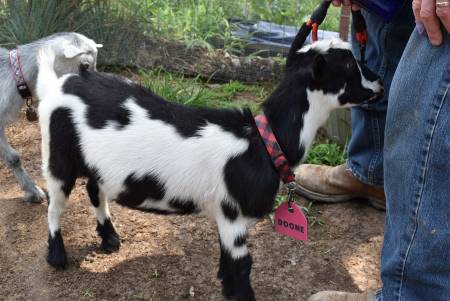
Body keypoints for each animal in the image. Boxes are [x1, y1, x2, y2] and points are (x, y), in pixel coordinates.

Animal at [36, 31, 384, 298]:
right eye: (349, 64)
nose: (380, 80)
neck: (262, 140)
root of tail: (58, 84)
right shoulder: (234, 216)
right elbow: (240, 269)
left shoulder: (227, 218)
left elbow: (228, 268)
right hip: (57, 154)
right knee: (55, 203)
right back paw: (56, 256)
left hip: (95, 161)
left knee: (96, 189)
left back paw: (109, 238)